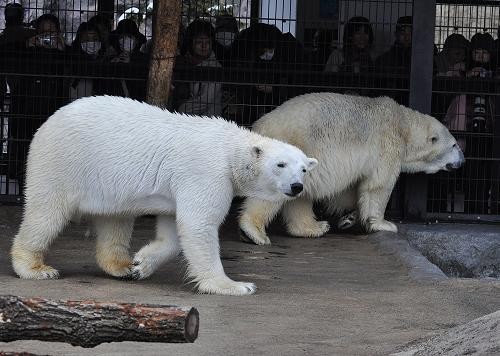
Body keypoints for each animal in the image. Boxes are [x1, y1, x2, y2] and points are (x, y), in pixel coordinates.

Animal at [10, 94, 316, 294]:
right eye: (280, 164)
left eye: (303, 169)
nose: (296, 187)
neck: (230, 149)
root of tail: (49, 120)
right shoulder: (207, 173)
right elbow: (199, 224)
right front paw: (235, 285)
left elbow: (173, 231)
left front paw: (140, 264)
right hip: (63, 161)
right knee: (47, 212)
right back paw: (36, 268)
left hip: (108, 182)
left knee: (116, 219)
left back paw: (121, 266)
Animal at [238, 92, 464, 245]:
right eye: (454, 144)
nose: (462, 160)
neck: (403, 125)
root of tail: (258, 127)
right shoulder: (387, 145)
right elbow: (378, 185)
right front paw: (384, 224)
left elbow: (350, 191)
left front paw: (348, 218)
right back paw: (254, 231)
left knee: (299, 195)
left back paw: (314, 227)